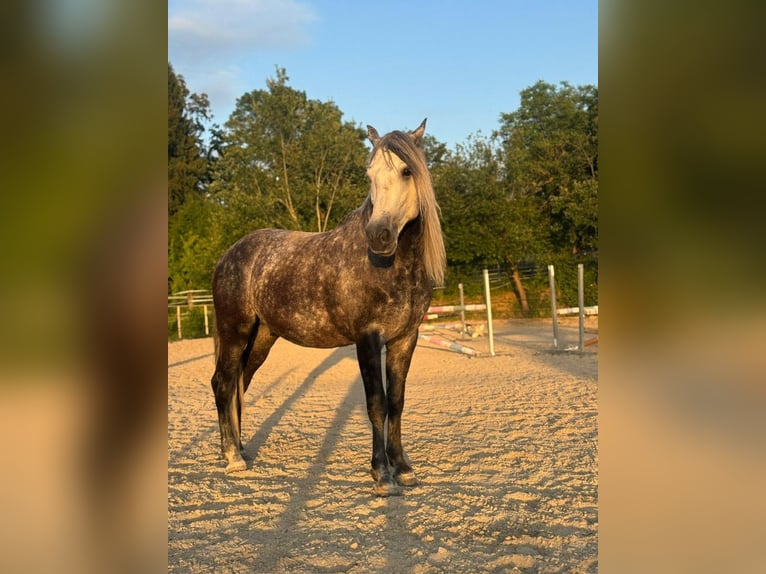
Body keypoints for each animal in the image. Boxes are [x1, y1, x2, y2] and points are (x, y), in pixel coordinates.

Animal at [210, 119, 446, 496]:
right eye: (369, 174)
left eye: (407, 171)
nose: (379, 235)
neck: (390, 265)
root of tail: (229, 255)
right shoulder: (368, 338)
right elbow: (377, 404)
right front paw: (382, 474)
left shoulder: (405, 338)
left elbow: (397, 402)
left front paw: (404, 468)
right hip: (235, 331)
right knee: (222, 383)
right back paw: (232, 458)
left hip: (261, 338)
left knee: (238, 384)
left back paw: (239, 448)